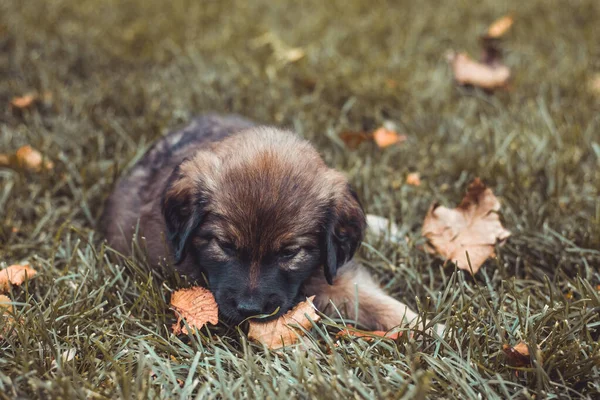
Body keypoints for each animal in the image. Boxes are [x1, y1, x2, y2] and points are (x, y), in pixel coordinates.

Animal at [102, 113, 432, 332]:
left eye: (288, 253)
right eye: (225, 245)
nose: (250, 310)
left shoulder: (329, 273)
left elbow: (374, 302)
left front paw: (430, 330)